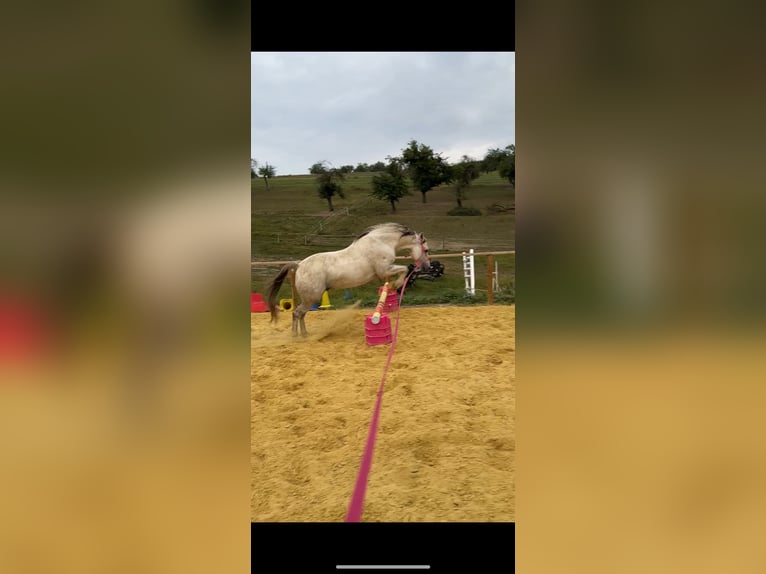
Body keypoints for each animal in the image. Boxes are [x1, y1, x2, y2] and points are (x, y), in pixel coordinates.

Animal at [265, 222, 431, 336]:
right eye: (427, 250)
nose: (427, 267)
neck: (382, 242)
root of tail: (299, 265)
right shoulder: (384, 270)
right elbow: (404, 269)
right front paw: (396, 284)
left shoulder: (384, 272)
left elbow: (399, 272)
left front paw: (391, 286)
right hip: (311, 298)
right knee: (297, 313)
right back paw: (296, 336)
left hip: (310, 299)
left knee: (301, 314)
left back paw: (305, 334)